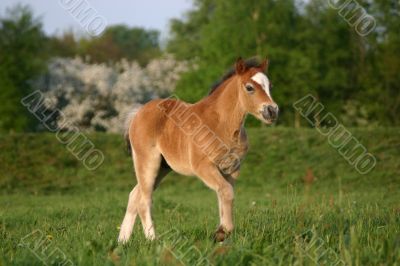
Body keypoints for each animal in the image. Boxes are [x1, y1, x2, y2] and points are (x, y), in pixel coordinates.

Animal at [118, 57, 278, 243]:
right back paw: (153, 240)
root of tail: (138, 112)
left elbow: (224, 196)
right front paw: (223, 231)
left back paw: (123, 241)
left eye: (270, 86)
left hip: (163, 168)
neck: (222, 124)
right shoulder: (204, 167)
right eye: (250, 87)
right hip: (148, 162)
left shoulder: (232, 169)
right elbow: (226, 192)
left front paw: (221, 233)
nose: (272, 110)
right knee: (144, 200)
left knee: (135, 195)